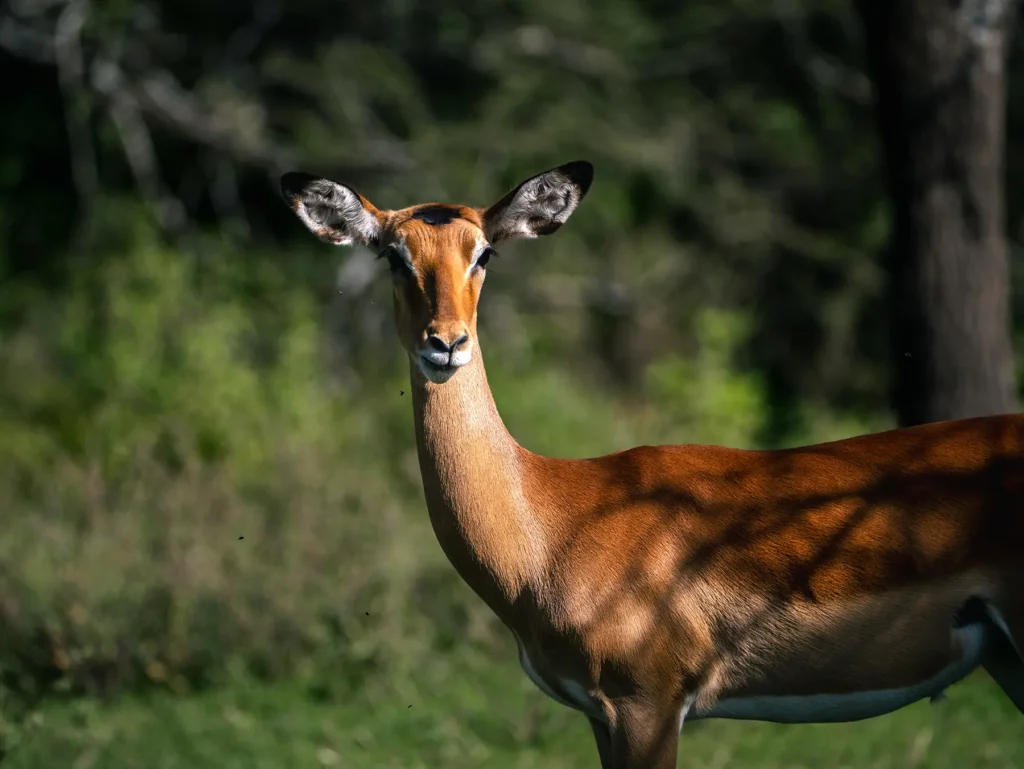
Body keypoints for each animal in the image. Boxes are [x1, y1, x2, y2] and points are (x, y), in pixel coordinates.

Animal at [280, 161, 1024, 768]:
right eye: (392, 254)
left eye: (484, 251)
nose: (446, 342)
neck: (548, 523)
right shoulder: (600, 716)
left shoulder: (649, 705)